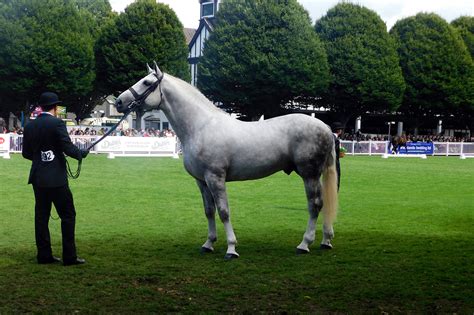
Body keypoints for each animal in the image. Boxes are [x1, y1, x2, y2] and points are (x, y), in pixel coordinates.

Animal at [114, 63, 336, 260]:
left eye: (146, 82)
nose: (118, 102)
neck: (201, 126)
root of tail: (325, 127)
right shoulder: (202, 181)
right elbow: (209, 211)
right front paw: (208, 243)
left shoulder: (215, 178)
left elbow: (224, 212)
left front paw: (231, 248)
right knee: (323, 204)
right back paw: (325, 240)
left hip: (309, 174)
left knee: (314, 205)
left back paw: (304, 244)